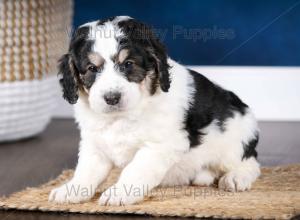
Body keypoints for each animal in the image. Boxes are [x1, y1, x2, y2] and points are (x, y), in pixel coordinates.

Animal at [49, 16, 260, 205]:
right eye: (92, 68)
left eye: (128, 64)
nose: (112, 98)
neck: (121, 117)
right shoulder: (94, 144)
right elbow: (86, 170)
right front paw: (71, 189)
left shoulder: (159, 146)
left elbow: (134, 170)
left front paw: (119, 193)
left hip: (234, 143)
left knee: (251, 164)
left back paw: (236, 177)